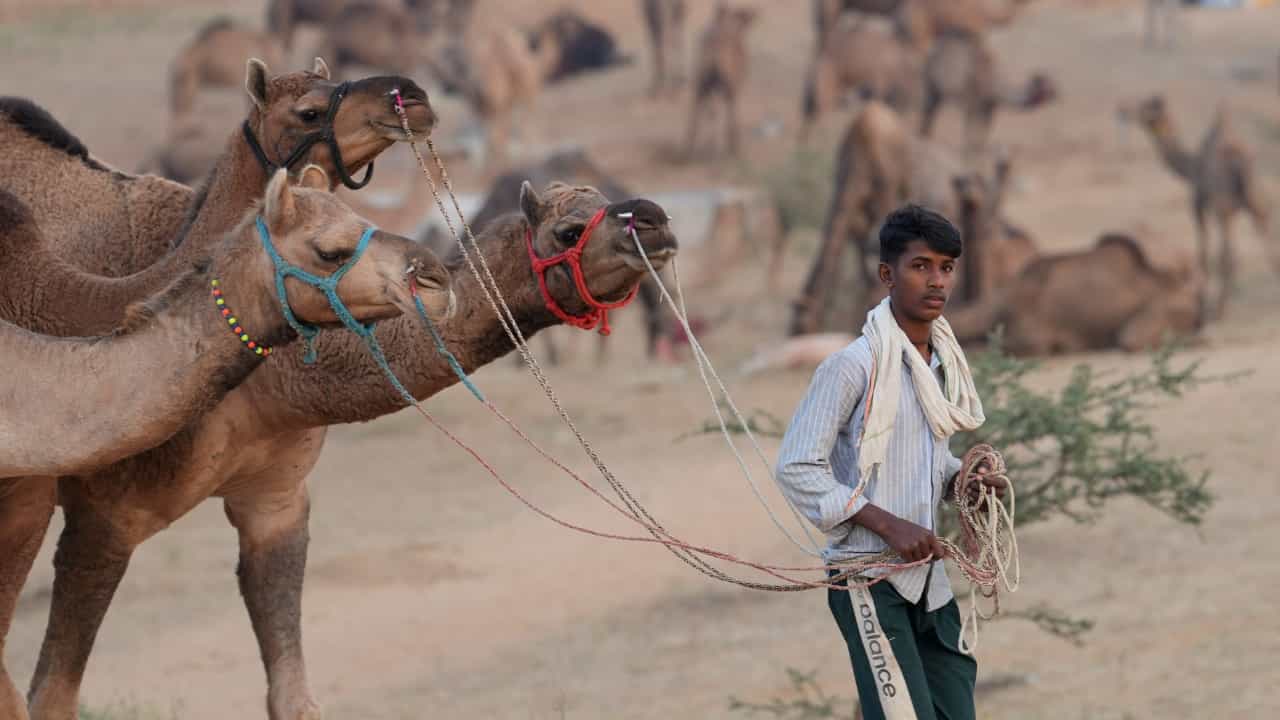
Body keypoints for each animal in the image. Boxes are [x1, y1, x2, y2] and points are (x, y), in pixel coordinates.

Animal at [685, 3, 757, 158]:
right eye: (744, 14)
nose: (754, 14)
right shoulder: (733, 86)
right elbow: (731, 113)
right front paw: (734, 147)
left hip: (701, 81)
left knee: (697, 109)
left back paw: (689, 149)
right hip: (723, 84)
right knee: (715, 112)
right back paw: (716, 148)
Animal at [1120, 94, 1280, 319]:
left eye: (1145, 106)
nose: (1122, 109)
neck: (1191, 165)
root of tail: (1241, 165)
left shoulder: (1198, 202)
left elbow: (1203, 253)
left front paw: (1203, 307)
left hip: (1224, 209)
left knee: (1228, 256)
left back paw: (1219, 310)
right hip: (1260, 205)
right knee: (1270, 248)